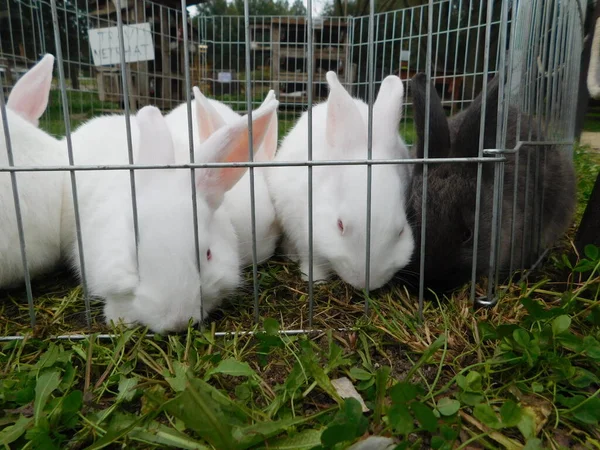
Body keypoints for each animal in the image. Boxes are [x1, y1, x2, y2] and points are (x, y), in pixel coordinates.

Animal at [266, 70, 412, 288]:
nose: (366, 283)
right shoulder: (304, 232)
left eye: (401, 230)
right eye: (340, 224)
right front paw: (314, 280)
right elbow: (312, 260)